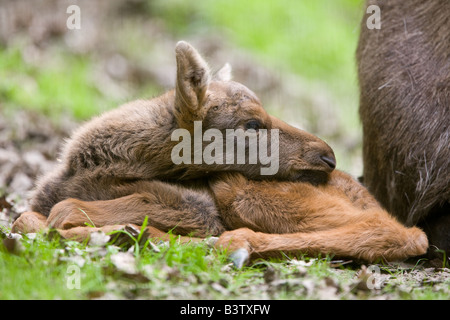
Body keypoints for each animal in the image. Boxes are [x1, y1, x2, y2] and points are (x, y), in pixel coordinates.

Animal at [14, 41, 428, 264]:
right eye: (252, 124)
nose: (327, 156)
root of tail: (366, 193)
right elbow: (27, 219)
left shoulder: (197, 206)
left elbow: (61, 213)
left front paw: (117, 230)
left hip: (241, 191)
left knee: (399, 230)